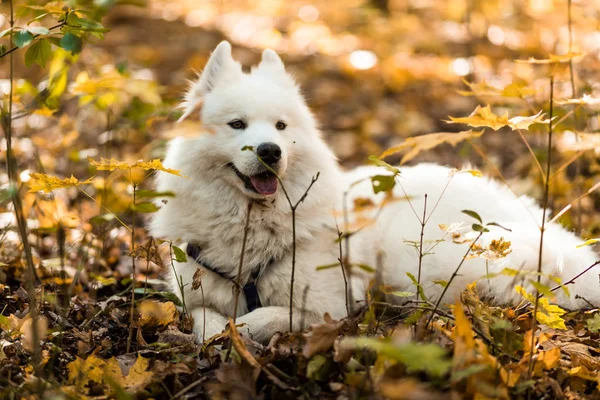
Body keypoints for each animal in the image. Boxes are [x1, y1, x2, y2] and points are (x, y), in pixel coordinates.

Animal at [150, 41, 600, 344]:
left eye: (280, 126)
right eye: (237, 125)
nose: (270, 151)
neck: (252, 225)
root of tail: (533, 220)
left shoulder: (329, 305)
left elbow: (272, 316)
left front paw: (242, 328)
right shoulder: (193, 292)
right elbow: (203, 318)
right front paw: (219, 330)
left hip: (416, 256)